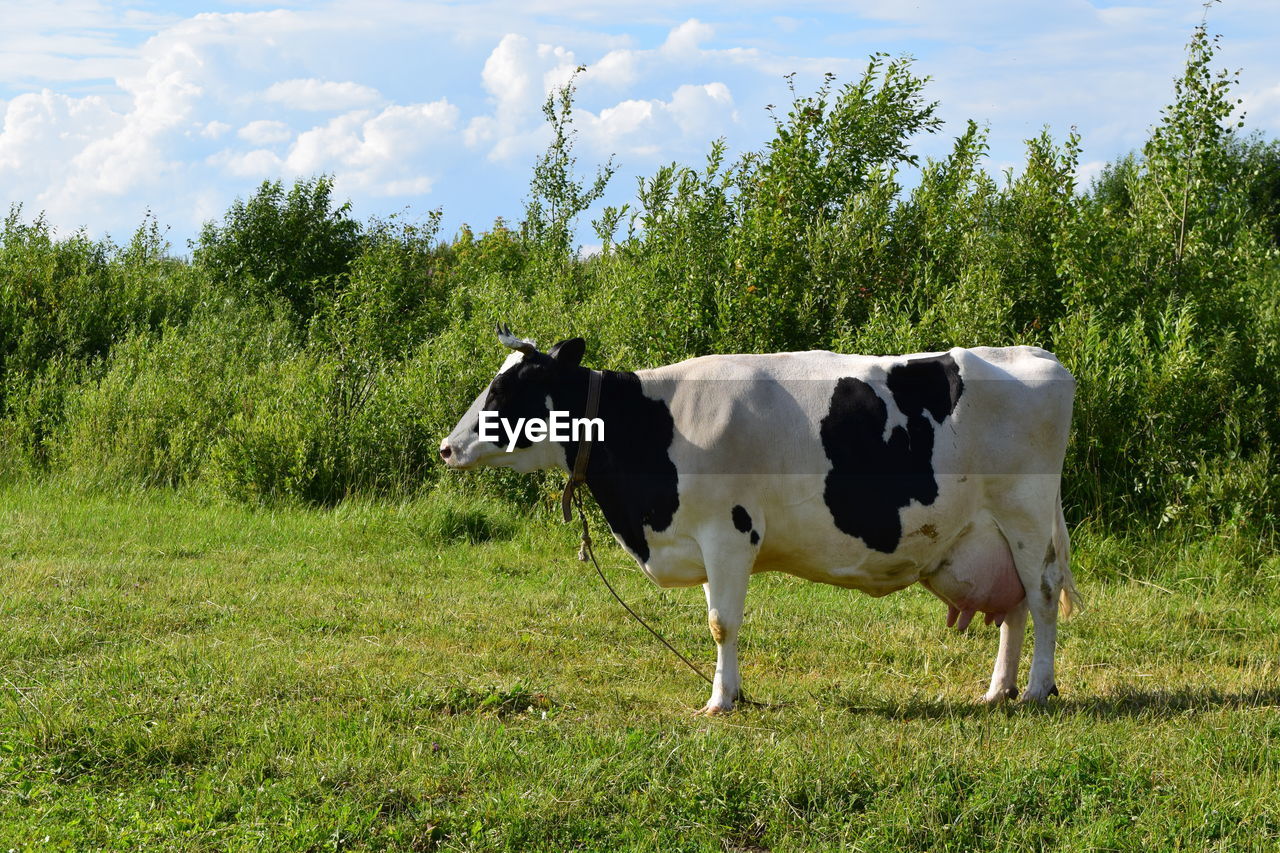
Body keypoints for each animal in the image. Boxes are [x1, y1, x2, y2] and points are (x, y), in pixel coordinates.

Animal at [442, 325, 1080, 712]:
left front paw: (721, 702)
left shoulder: (728, 534)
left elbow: (721, 623)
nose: (447, 447)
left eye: (512, 387)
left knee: (1042, 596)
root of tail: (1036, 355)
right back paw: (997, 691)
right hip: (992, 534)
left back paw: (1037, 690)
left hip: (1025, 517)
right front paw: (731, 694)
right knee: (1013, 607)